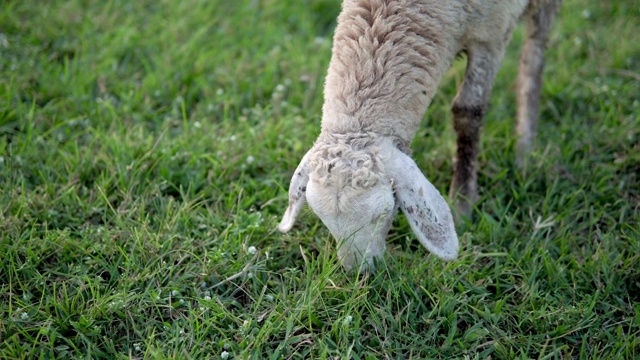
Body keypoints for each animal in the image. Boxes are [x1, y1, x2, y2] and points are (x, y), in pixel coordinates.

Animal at [276, 0, 560, 270]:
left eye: (385, 213)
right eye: (323, 218)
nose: (357, 272)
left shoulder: (491, 33)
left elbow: (468, 110)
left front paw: (463, 203)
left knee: (534, 53)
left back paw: (524, 148)